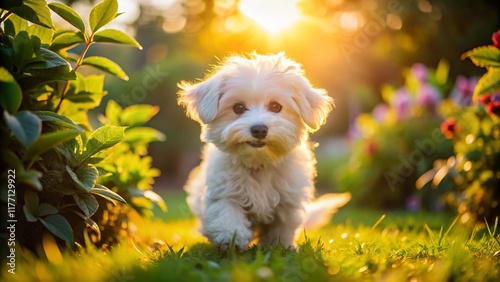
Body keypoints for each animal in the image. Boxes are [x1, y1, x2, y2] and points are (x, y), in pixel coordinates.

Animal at [178, 53, 350, 251]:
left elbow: (283, 226)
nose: (259, 129)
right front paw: (231, 236)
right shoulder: (223, 190)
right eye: (238, 108)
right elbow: (225, 211)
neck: (258, 163)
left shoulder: (288, 200)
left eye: (275, 106)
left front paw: (282, 246)